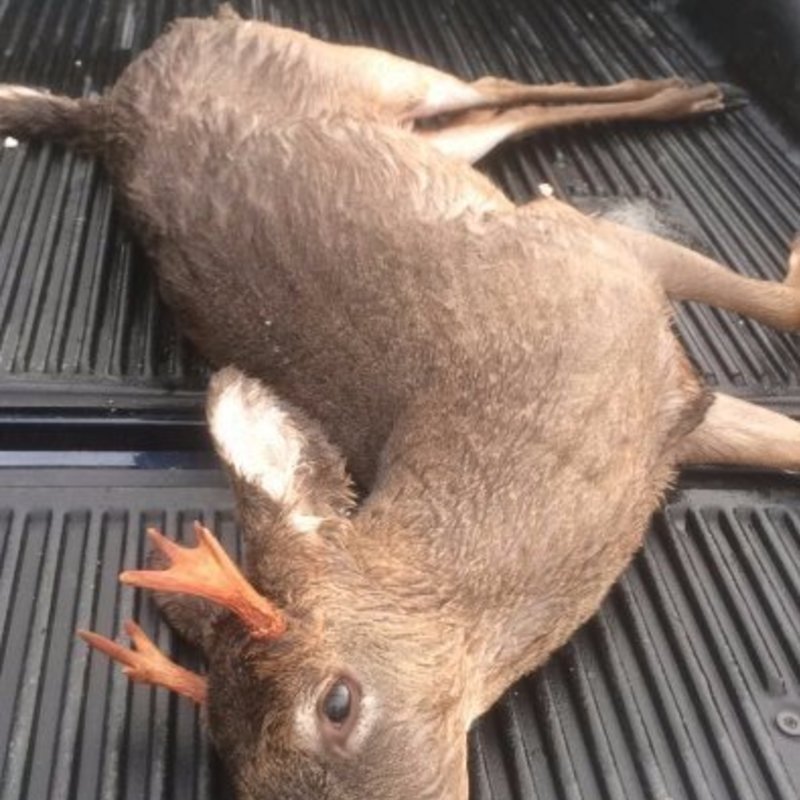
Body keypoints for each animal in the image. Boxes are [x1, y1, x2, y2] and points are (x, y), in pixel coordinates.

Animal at [2, 5, 799, 799]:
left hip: (368, 70)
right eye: (236, 767)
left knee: (490, 84)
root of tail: (112, 104)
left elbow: (780, 304)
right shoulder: (675, 418)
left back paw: (684, 93)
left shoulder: (606, 255)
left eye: (338, 702)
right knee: (497, 107)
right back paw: (680, 93)